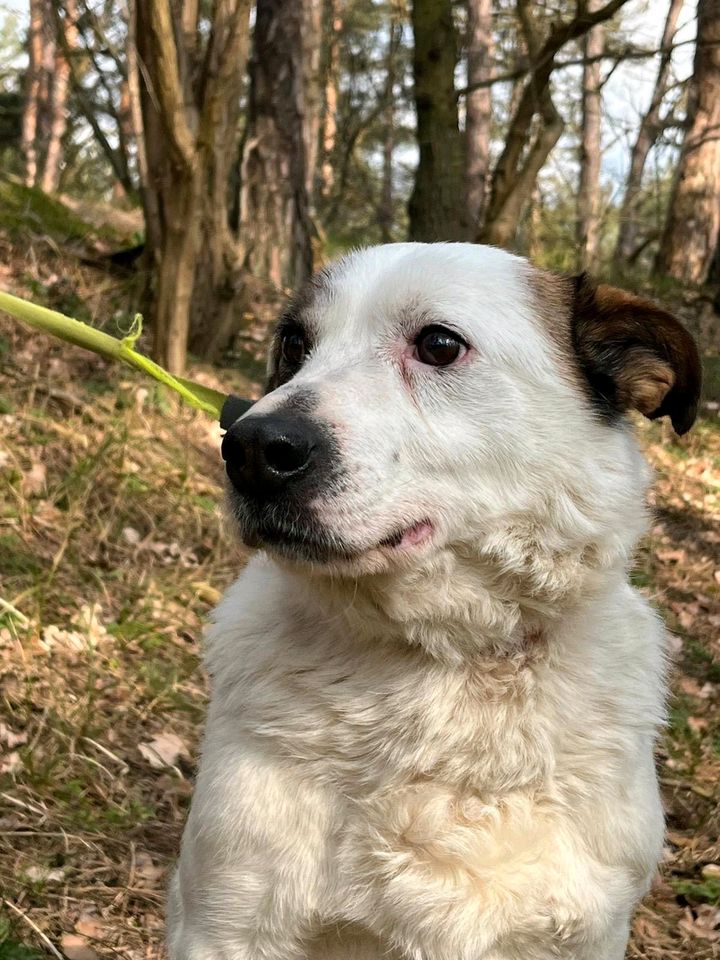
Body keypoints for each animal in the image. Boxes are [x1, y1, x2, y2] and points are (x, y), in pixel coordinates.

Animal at [167, 246, 696, 960]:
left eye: (439, 345)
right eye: (295, 343)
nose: (248, 448)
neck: (453, 664)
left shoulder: (588, 934)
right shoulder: (226, 921)